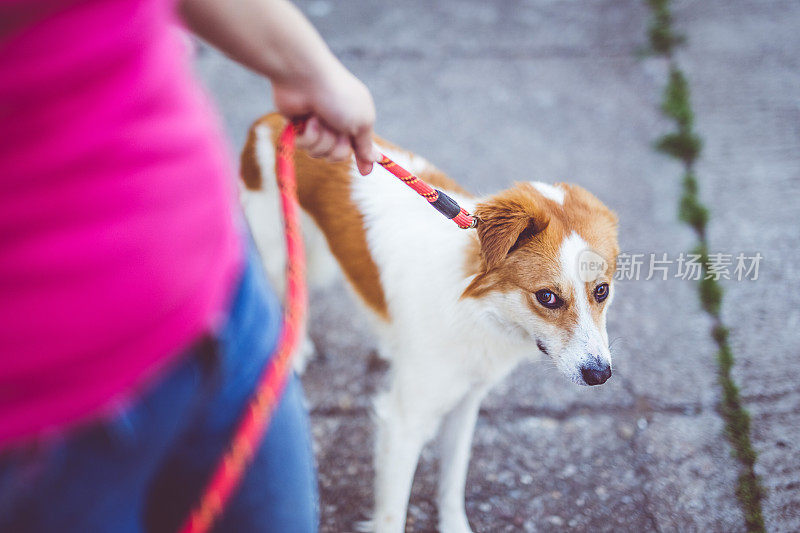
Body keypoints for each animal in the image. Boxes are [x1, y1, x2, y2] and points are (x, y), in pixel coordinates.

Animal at [238, 114, 620, 528]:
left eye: (602, 291)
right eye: (547, 297)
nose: (600, 375)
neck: (477, 310)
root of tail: (275, 118)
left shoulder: (466, 402)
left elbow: (452, 480)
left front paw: (454, 524)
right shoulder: (403, 422)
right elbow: (392, 514)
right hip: (277, 253)